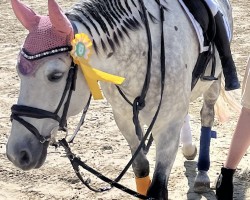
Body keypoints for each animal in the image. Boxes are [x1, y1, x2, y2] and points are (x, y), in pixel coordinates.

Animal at [5, 0, 233, 199]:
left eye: (55, 75)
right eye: (18, 71)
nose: (17, 153)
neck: (142, 50)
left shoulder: (167, 126)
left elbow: (157, 189)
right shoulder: (123, 118)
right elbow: (141, 168)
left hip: (213, 84)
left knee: (206, 115)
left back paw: (202, 174)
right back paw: (188, 149)